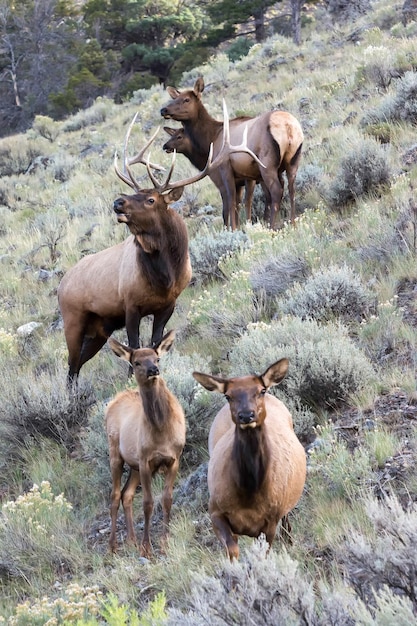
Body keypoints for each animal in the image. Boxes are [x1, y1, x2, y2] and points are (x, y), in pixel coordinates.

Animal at [105, 330, 184, 552]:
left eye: (157, 358)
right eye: (137, 362)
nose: (153, 370)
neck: (161, 431)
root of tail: (114, 401)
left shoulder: (174, 459)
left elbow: (167, 499)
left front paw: (165, 541)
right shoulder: (146, 461)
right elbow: (148, 503)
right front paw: (146, 547)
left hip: (134, 466)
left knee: (127, 494)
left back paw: (131, 539)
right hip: (117, 454)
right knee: (115, 496)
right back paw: (113, 544)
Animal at [160, 76, 302, 229]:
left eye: (186, 99)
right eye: (174, 98)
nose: (164, 109)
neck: (210, 140)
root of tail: (288, 126)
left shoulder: (224, 170)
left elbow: (230, 204)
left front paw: (233, 229)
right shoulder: (246, 177)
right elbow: (242, 203)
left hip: (267, 164)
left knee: (276, 191)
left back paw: (271, 227)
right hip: (293, 160)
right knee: (291, 188)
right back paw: (293, 223)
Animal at [192, 358, 306, 560]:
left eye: (261, 390)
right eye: (228, 396)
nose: (246, 415)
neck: (249, 493)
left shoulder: (270, 521)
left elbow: (263, 553)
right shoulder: (215, 511)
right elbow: (232, 550)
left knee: (287, 520)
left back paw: (290, 542)